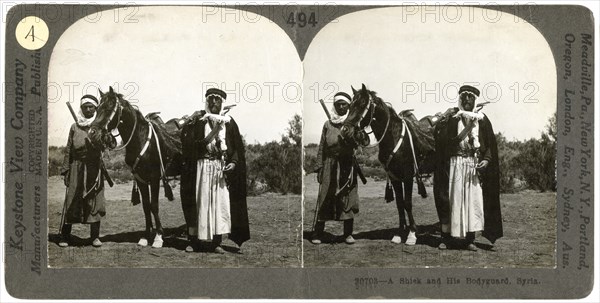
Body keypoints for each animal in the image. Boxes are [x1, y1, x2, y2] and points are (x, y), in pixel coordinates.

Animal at [86, 86, 180, 248]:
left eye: (109, 107)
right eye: (96, 109)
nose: (93, 133)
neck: (140, 139)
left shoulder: (154, 177)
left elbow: (154, 205)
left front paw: (158, 237)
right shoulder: (141, 179)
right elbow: (146, 206)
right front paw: (146, 236)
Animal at [340, 84, 434, 246]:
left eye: (362, 104)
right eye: (350, 106)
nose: (345, 131)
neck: (393, 136)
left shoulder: (408, 176)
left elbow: (408, 203)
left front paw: (412, 234)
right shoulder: (395, 177)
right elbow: (400, 204)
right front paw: (399, 233)